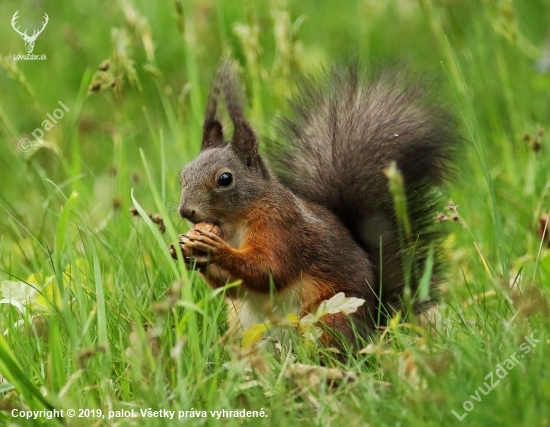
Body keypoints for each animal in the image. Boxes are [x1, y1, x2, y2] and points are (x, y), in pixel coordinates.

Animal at [169, 59, 462, 348]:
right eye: (183, 175)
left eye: (225, 179)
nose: (186, 211)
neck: (234, 222)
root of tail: (375, 323)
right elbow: (232, 287)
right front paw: (184, 250)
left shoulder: (282, 226)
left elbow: (269, 270)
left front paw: (214, 248)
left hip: (329, 318)